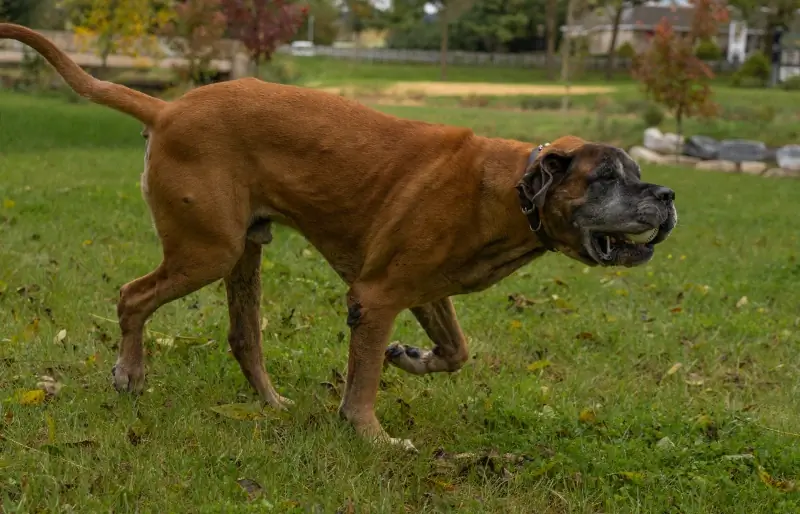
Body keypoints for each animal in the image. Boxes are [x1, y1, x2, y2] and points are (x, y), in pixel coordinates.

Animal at [0, 24, 680, 448]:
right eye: (608, 176)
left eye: (636, 172)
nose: (669, 196)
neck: (509, 190)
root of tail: (167, 108)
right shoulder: (375, 298)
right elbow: (363, 386)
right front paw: (372, 437)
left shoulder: (423, 290)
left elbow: (457, 351)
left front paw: (410, 358)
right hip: (206, 251)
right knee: (132, 297)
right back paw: (130, 374)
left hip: (241, 254)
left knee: (243, 338)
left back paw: (271, 404)